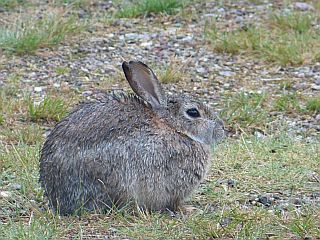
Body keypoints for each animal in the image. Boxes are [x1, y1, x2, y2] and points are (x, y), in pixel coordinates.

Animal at [39, 60, 225, 216]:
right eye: (193, 112)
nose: (222, 129)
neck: (173, 127)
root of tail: (57, 197)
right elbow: (174, 203)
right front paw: (189, 209)